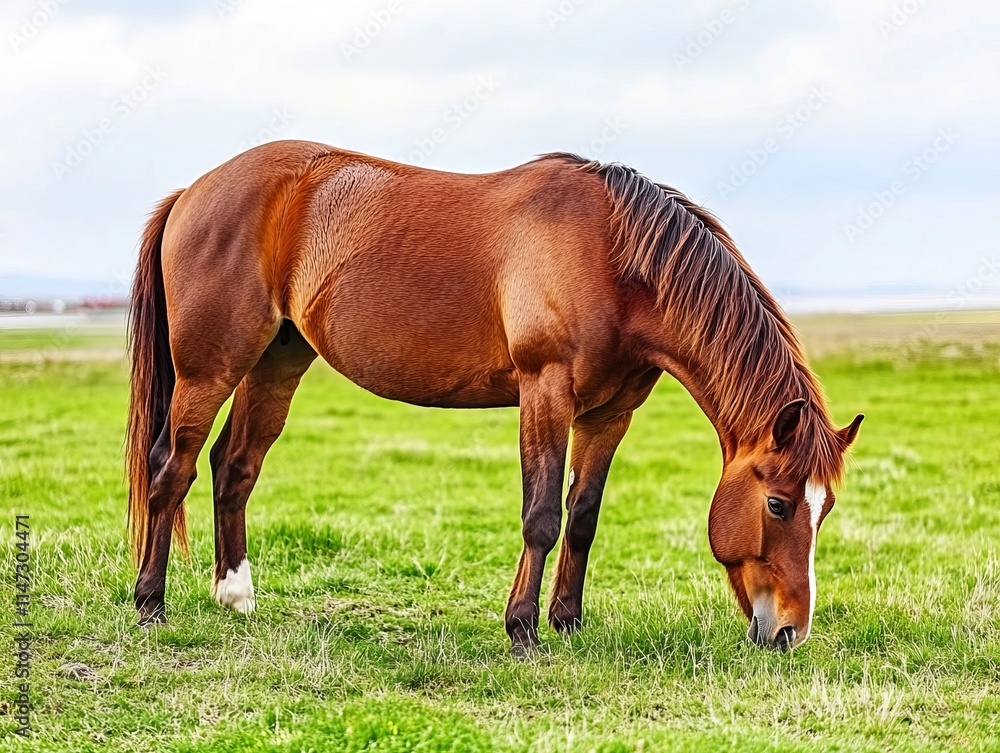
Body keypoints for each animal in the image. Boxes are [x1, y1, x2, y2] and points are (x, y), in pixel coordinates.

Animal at [126, 141, 863, 654]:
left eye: (824, 509)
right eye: (778, 503)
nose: (790, 631)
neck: (613, 258)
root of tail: (194, 190)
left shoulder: (609, 415)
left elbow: (583, 516)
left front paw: (567, 620)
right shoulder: (546, 392)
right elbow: (541, 515)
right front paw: (522, 629)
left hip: (277, 359)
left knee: (235, 466)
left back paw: (234, 594)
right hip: (208, 371)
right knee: (173, 469)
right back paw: (150, 602)